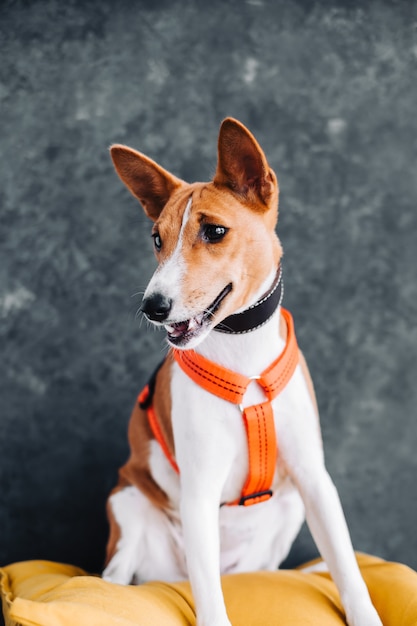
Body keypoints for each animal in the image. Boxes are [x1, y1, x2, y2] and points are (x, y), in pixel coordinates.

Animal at [102, 118, 382, 624]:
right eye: (157, 239)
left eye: (214, 231)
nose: (153, 307)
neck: (244, 358)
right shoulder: (198, 491)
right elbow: (209, 600)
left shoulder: (315, 479)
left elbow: (348, 567)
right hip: (127, 502)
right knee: (114, 577)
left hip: (288, 512)